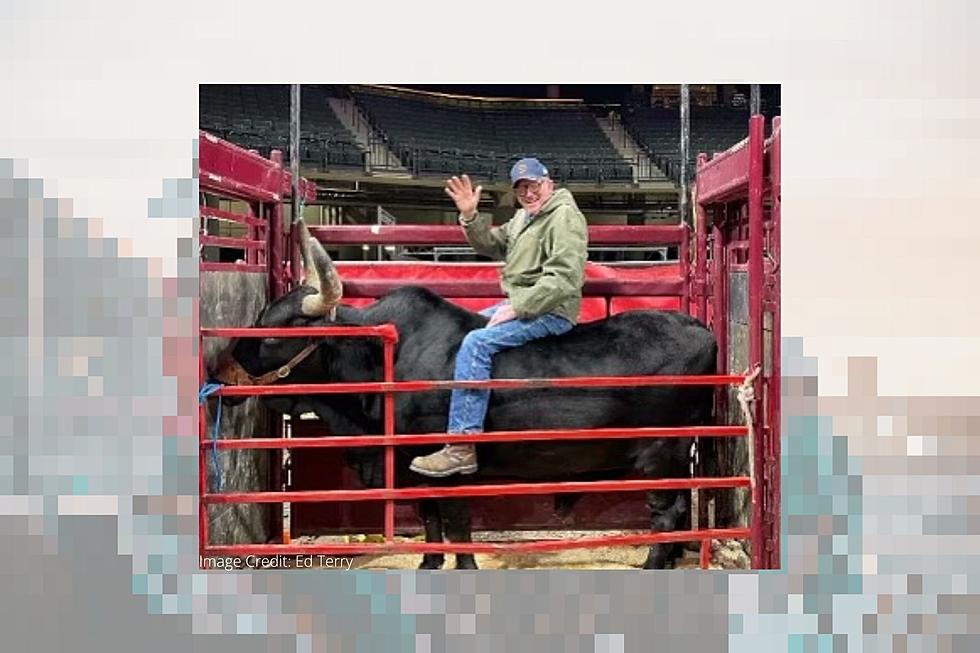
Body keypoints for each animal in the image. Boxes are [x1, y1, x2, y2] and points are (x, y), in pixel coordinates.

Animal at [211, 222, 716, 568]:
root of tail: (701, 329)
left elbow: (456, 523)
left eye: (273, 335)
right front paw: (429, 562)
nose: (220, 373)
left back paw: (653, 565)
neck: (382, 359)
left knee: (666, 513)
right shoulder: (413, 470)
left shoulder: (447, 470)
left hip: (661, 453)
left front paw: (463, 565)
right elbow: (430, 520)